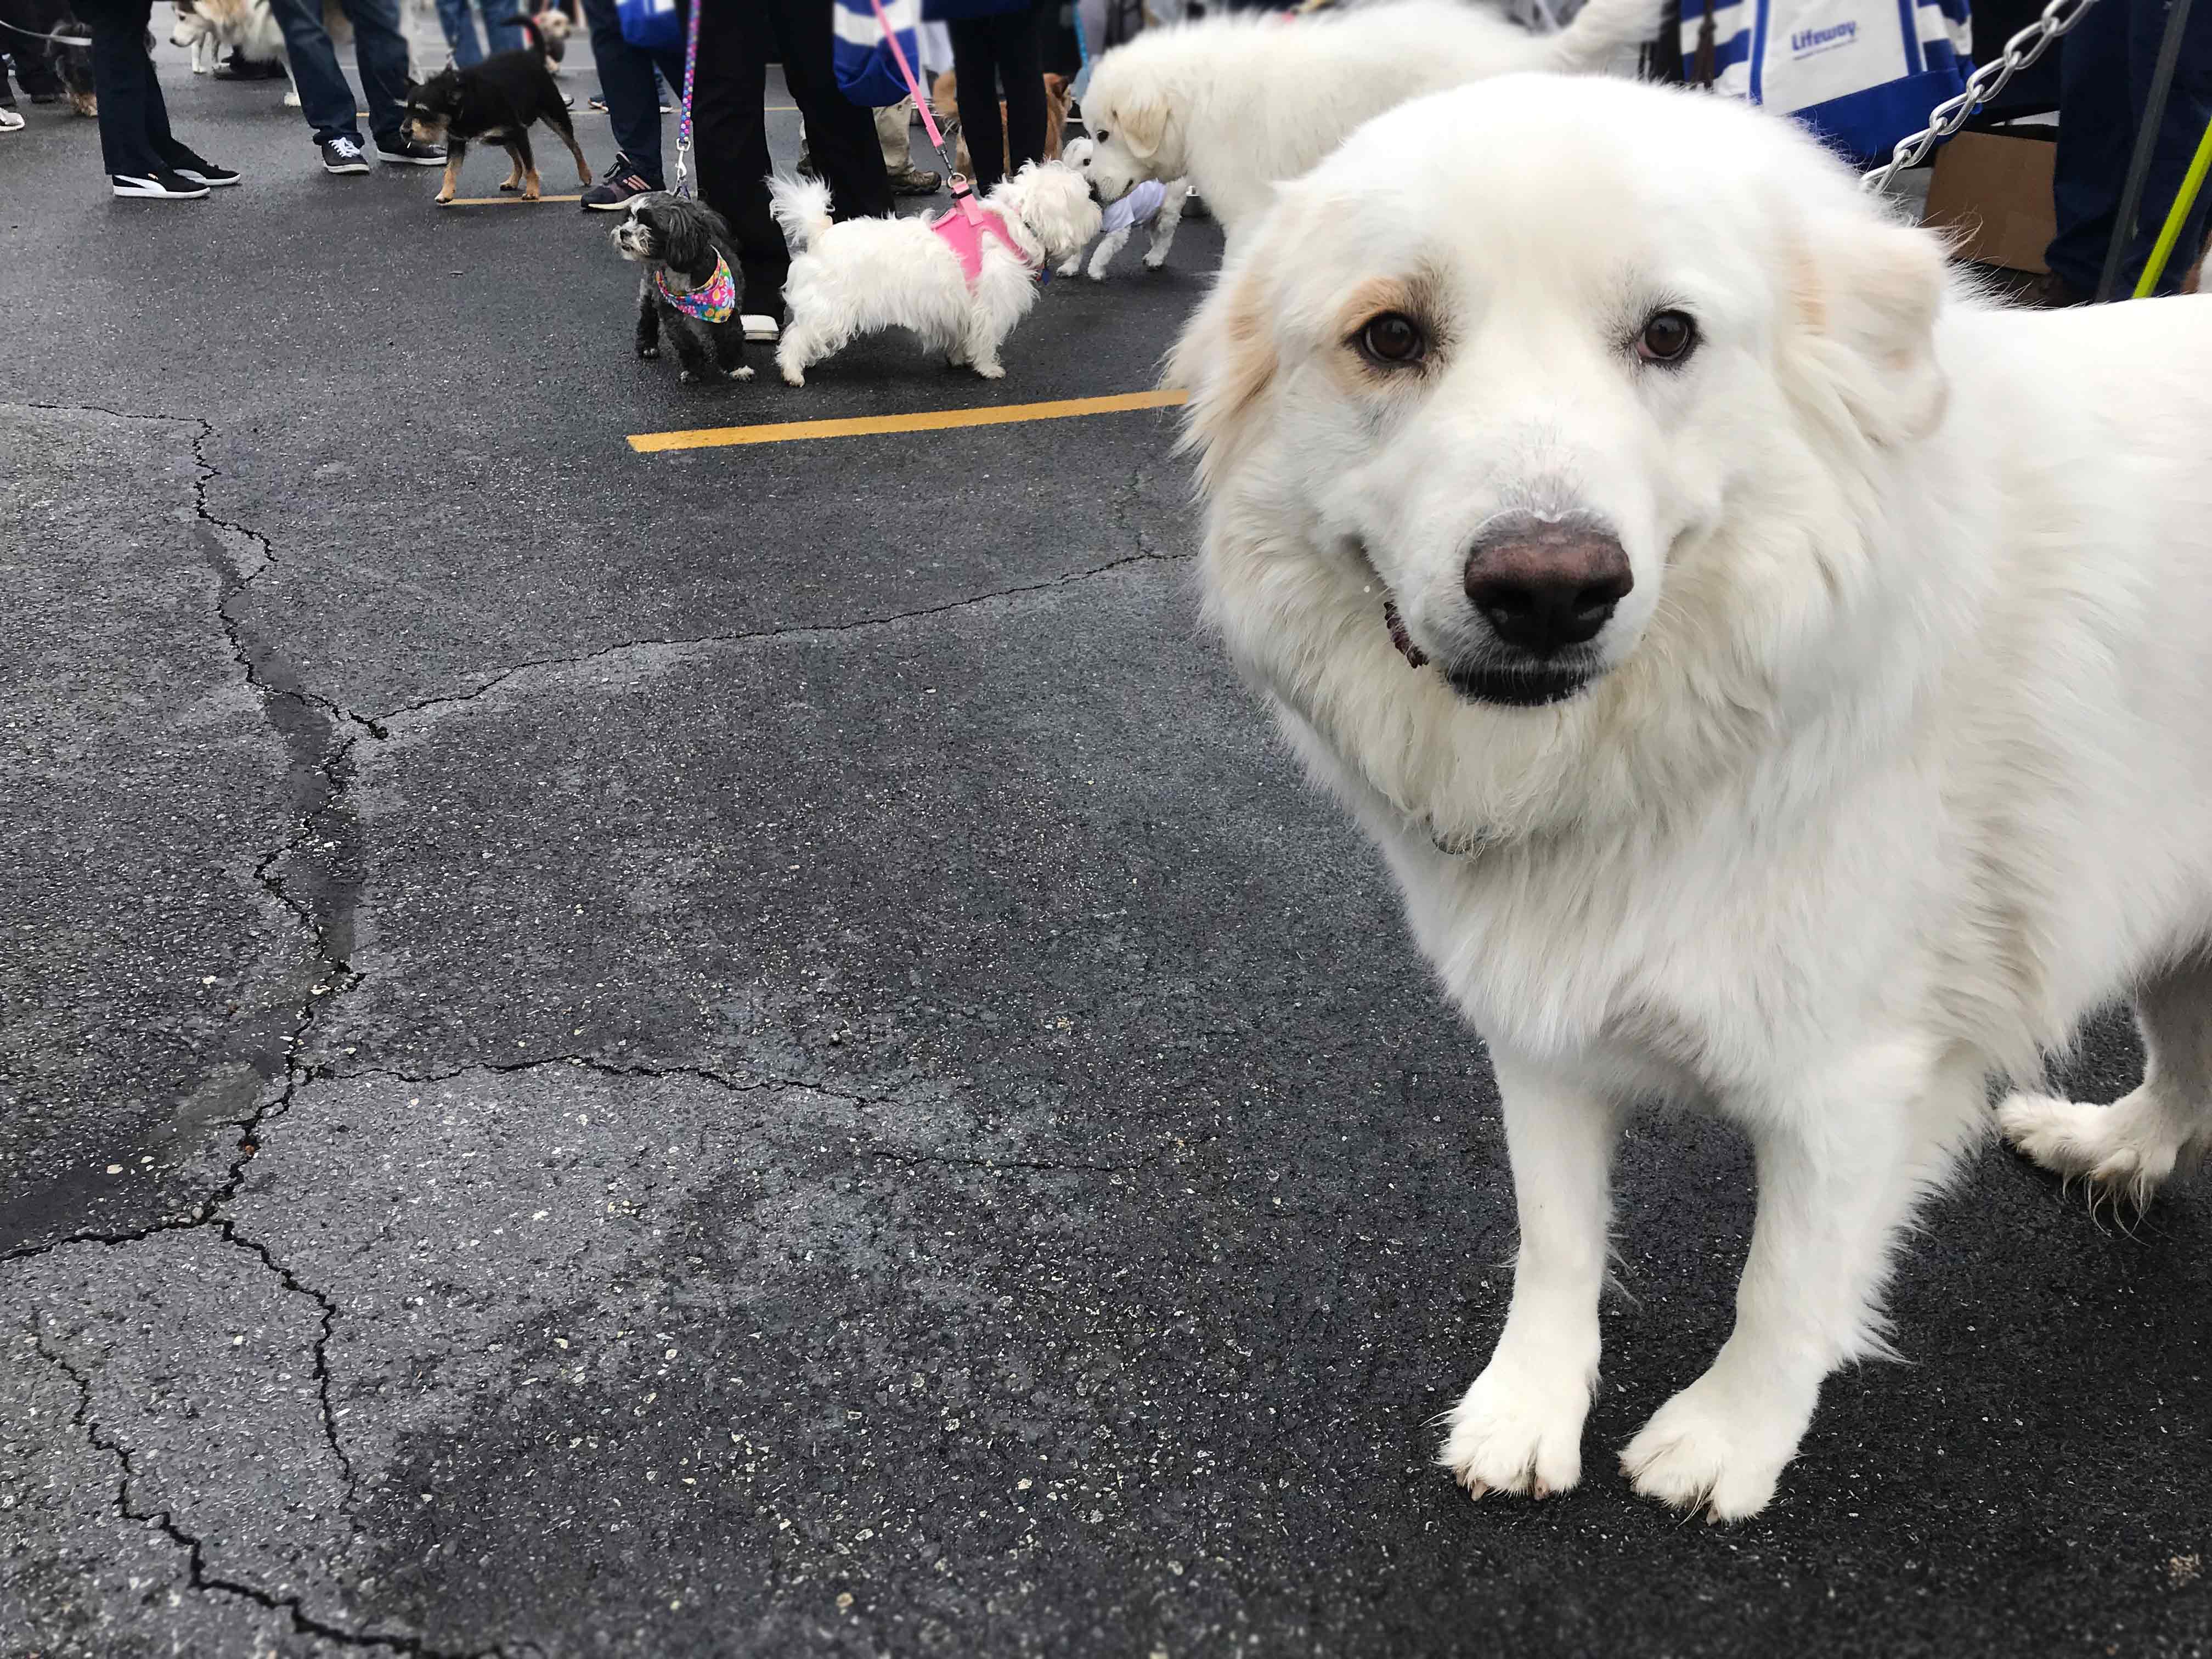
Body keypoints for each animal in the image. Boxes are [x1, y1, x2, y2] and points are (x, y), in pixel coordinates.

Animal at [765, 167, 1101, 387]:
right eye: (1084, 199)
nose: (1098, 208)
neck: (1015, 222)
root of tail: (821, 233)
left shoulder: (960, 309)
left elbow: (963, 337)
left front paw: (959, 358)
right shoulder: (990, 306)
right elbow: (985, 340)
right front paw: (988, 368)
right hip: (831, 308)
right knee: (796, 336)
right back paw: (793, 373)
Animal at [1057, 136, 1194, 280]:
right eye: (1086, 161)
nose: (1092, 181)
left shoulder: (1119, 229)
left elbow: (1102, 251)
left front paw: (1096, 271)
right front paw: (1069, 268)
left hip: (1167, 213)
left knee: (1165, 238)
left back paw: (1156, 258)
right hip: (1152, 213)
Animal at [1167, 81, 2212, 1531]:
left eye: (1668, 336)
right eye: (1390, 337)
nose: (1551, 589)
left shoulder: (1852, 1085)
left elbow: (1783, 1286)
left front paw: (1729, 1442)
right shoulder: (1539, 1023)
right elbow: (1555, 1241)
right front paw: (1528, 1409)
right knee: (2186, 1077)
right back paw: (2108, 1143)